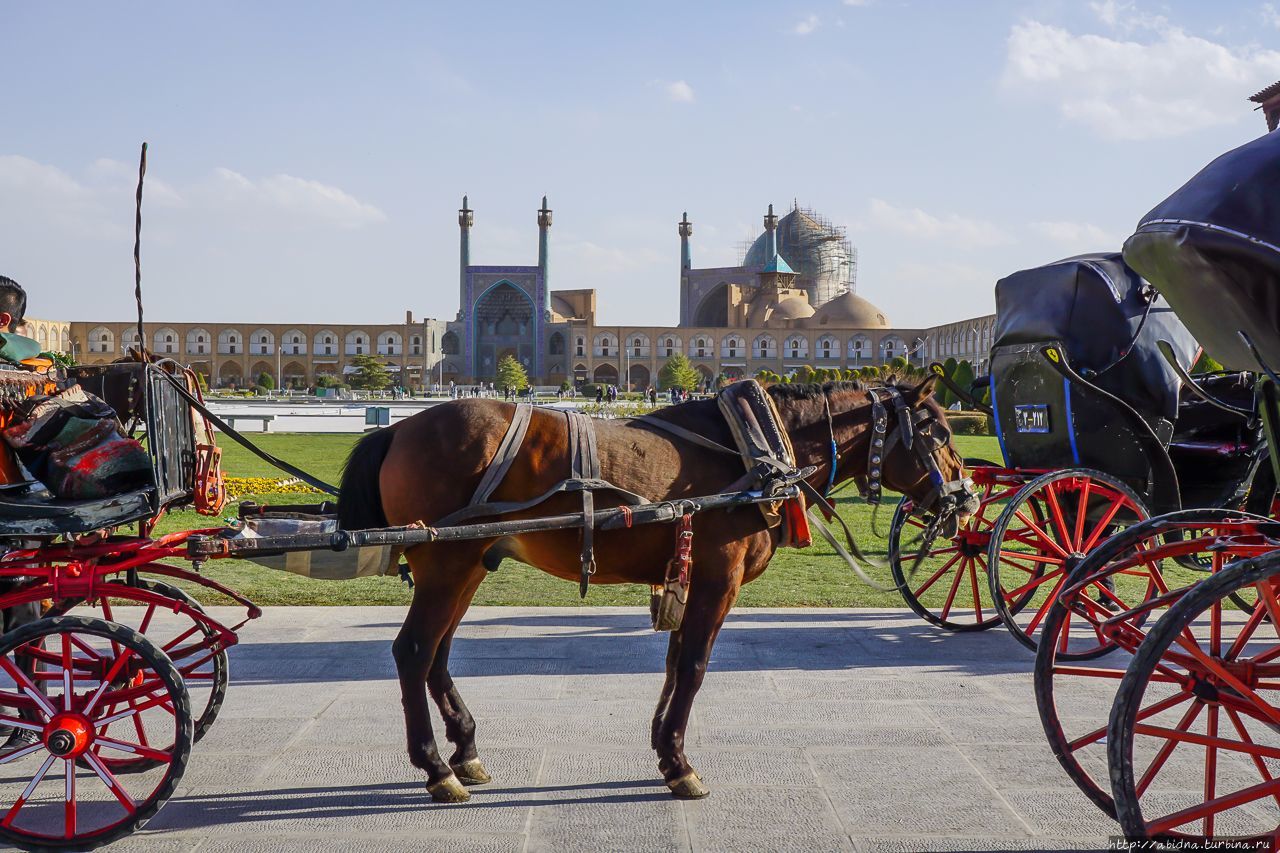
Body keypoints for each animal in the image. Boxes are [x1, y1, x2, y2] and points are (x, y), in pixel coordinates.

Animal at [337, 376, 967, 799]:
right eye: (935, 431)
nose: (964, 497)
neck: (756, 453)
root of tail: (398, 426)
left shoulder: (688, 574)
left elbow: (671, 662)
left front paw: (666, 751)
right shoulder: (718, 578)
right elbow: (692, 665)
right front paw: (681, 763)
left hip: (464, 563)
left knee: (437, 652)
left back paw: (465, 750)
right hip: (448, 560)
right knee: (414, 650)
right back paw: (437, 768)